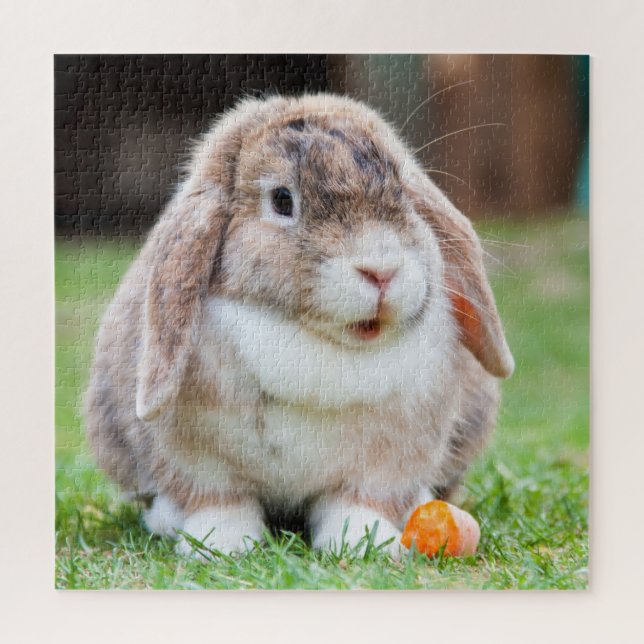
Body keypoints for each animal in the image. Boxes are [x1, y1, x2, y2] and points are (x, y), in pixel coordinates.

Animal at [85, 93, 514, 559]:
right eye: (282, 200)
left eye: (402, 190)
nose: (381, 270)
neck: (319, 343)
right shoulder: (198, 462)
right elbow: (220, 503)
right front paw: (221, 545)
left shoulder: (385, 463)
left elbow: (358, 503)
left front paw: (365, 544)